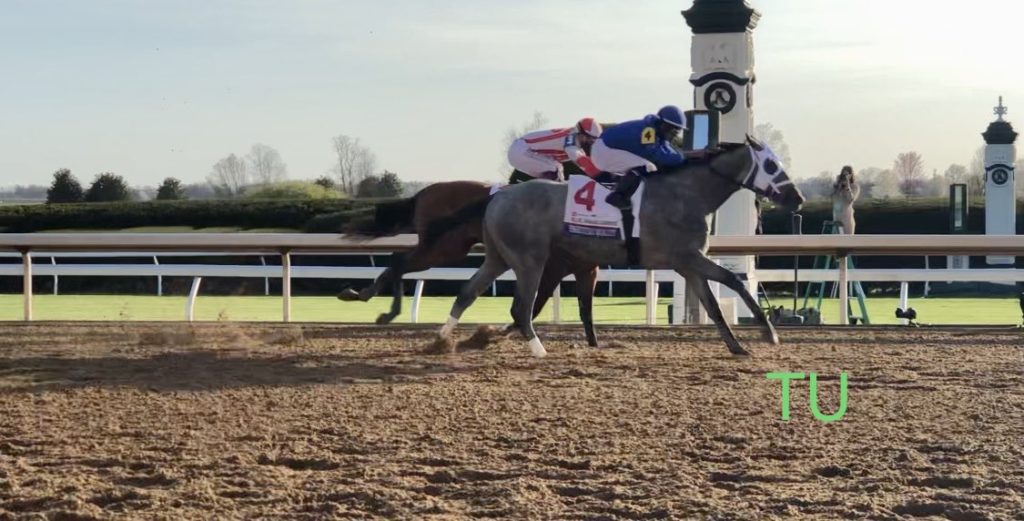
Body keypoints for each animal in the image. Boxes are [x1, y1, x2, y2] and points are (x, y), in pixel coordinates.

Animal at [339, 179, 602, 345]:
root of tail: (422, 193)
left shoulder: (582, 267)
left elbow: (582, 307)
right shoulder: (552, 267)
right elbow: (535, 305)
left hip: (446, 248)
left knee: (399, 262)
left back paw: (368, 300)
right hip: (445, 247)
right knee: (399, 261)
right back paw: (377, 305)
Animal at [428, 139, 802, 358]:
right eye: (771, 165)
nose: (797, 198)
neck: (688, 193)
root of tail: (499, 196)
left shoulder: (687, 264)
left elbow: (713, 306)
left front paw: (737, 347)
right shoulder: (689, 257)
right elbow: (735, 281)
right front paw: (769, 333)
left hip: (498, 257)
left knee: (467, 292)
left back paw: (441, 340)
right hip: (528, 260)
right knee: (520, 308)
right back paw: (539, 350)